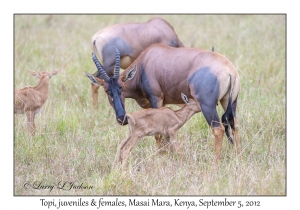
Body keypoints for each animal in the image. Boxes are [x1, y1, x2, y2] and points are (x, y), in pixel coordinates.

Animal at [85, 43, 240, 161]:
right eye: (107, 91)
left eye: (121, 88)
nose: (121, 118)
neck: (145, 62)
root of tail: (229, 70)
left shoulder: (156, 98)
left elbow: (158, 134)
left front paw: (161, 157)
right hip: (229, 101)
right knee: (234, 125)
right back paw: (238, 155)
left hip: (207, 105)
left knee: (218, 129)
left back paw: (215, 162)